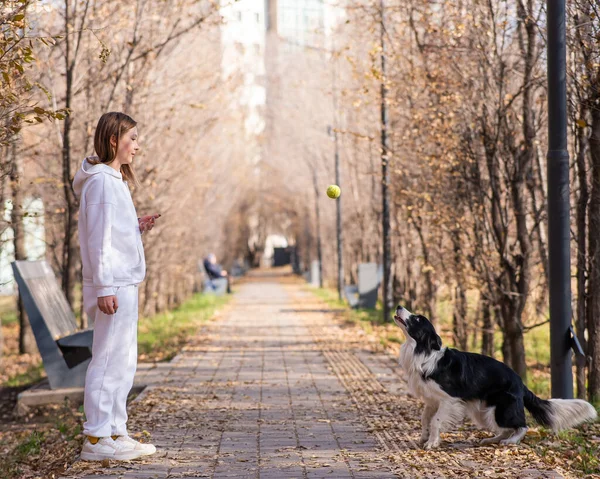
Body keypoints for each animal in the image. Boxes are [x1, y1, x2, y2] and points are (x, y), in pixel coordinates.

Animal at [394, 308, 596, 450]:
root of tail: (521, 383)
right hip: (484, 411)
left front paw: (431, 443)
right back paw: (492, 439)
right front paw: (424, 438)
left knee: (522, 426)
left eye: (417, 319)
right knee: (506, 429)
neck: (424, 353)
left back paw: (511, 441)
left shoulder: (449, 400)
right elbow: (425, 419)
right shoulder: (432, 400)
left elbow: (435, 421)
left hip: (500, 409)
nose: (398, 306)